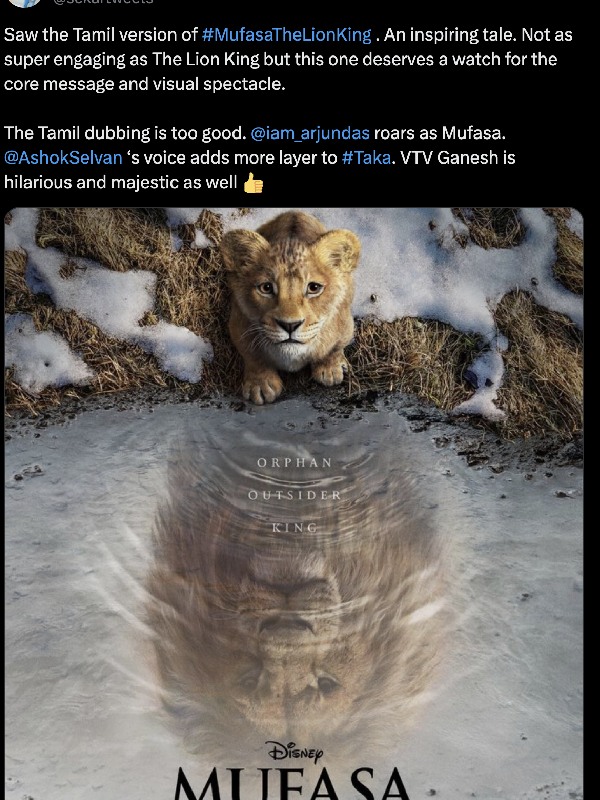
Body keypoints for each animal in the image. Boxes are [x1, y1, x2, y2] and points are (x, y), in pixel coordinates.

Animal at [220, 211, 361, 404]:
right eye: (266, 288)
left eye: (314, 288)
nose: (290, 325)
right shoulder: (238, 325)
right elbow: (253, 357)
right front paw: (261, 385)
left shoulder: (345, 324)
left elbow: (334, 348)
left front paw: (330, 369)